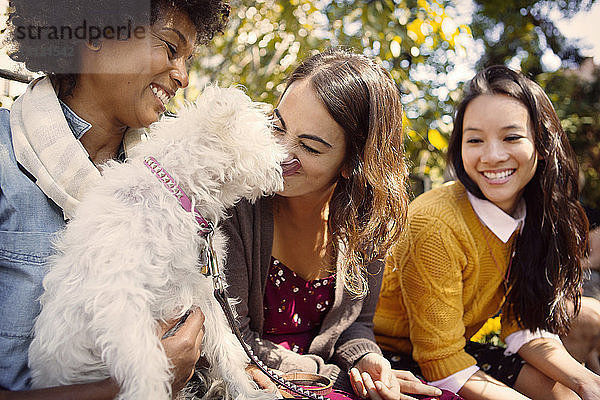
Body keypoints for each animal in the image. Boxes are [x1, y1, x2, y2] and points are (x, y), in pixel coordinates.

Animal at [29, 86, 288, 400]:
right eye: (267, 134)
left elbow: (227, 349)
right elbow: (147, 366)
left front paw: (247, 392)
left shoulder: (201, 292)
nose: (286, 161)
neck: (176, 194)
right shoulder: (118, 298)